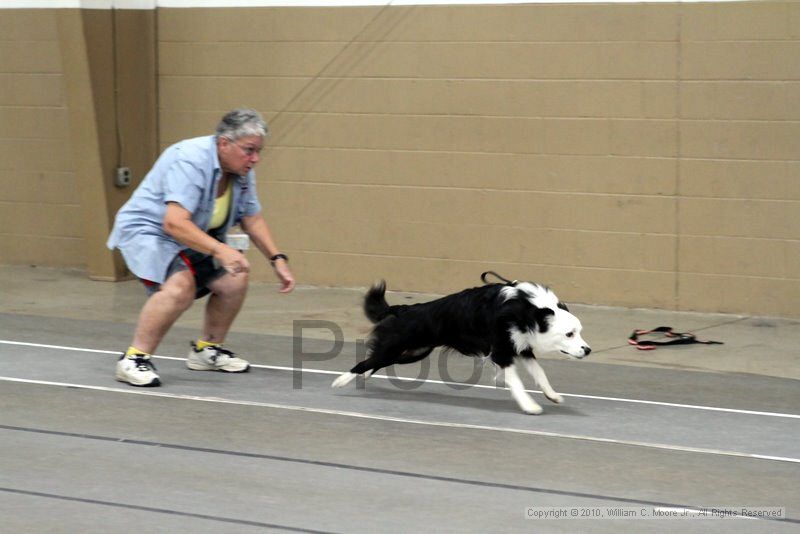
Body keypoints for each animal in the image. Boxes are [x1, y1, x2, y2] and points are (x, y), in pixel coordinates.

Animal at [332, 278, 588, 416]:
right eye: (569, 334)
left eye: (579, 331)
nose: (587, 350)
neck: (527, 310)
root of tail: (402, 309)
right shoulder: (501, 353)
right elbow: (516, 382)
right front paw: (530, 406)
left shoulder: (521, 348)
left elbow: (540, 373)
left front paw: (552, 395)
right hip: (398, 346)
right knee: (364, 361)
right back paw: (341, 381)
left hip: (413, 352)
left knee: (375, 361)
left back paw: (362, 377)